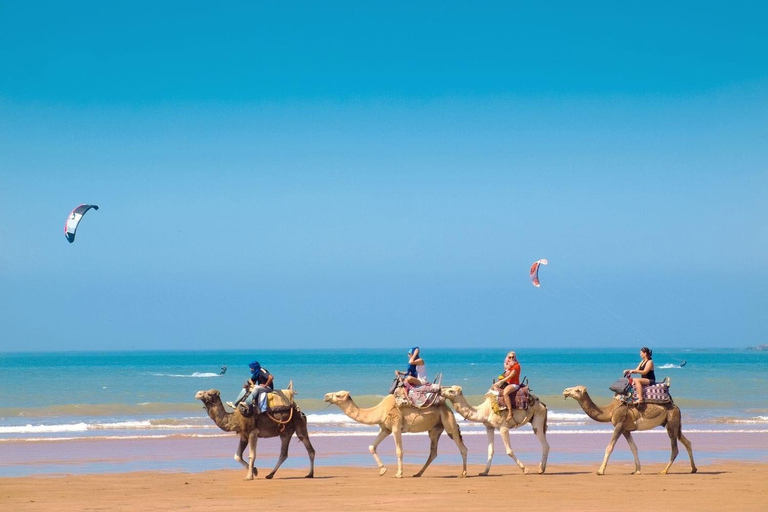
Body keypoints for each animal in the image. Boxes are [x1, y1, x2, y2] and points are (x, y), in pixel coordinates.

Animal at [322, 390, 468, 478]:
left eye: (339, 395)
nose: (326, 396)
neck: (380, 410)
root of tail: (447, 406)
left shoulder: (396, 427)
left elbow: (399, 451)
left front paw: (399, 473)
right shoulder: (385, 429)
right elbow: (372, 446)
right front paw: (382, 470)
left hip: (448, 422)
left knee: (461, 446)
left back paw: (464, 473)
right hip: (435, 429)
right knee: (433, 452)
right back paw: (418, 473)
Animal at [564, 386, 696, 474]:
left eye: (577, 390)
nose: (565, 391)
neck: (609, 411)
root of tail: (677, 408)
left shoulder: (619, 425)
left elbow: (609, 447)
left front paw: (600, 471)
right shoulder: (626, 430)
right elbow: (634, 448)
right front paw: (637, 470)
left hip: (672, 422)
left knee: (675, 448)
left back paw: (664, 470)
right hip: (673, 424)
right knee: (687, 442)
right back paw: (693, 469)